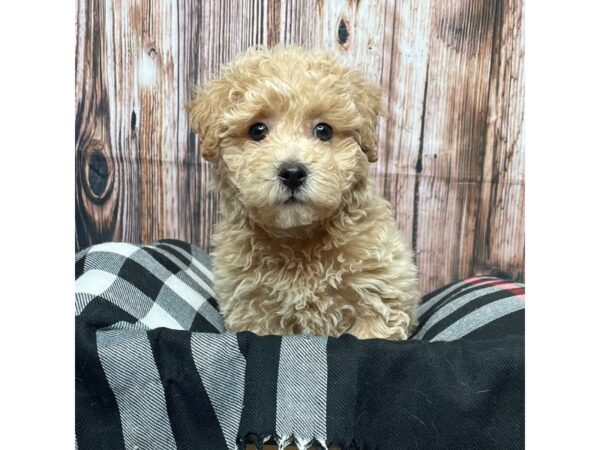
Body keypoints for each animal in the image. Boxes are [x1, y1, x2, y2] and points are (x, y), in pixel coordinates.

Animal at [190, 46, 420, 342]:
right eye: (257, 130)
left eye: (324, 130)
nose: (292, 172)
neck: (299, 239)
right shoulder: (252, 309)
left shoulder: (379, 294)